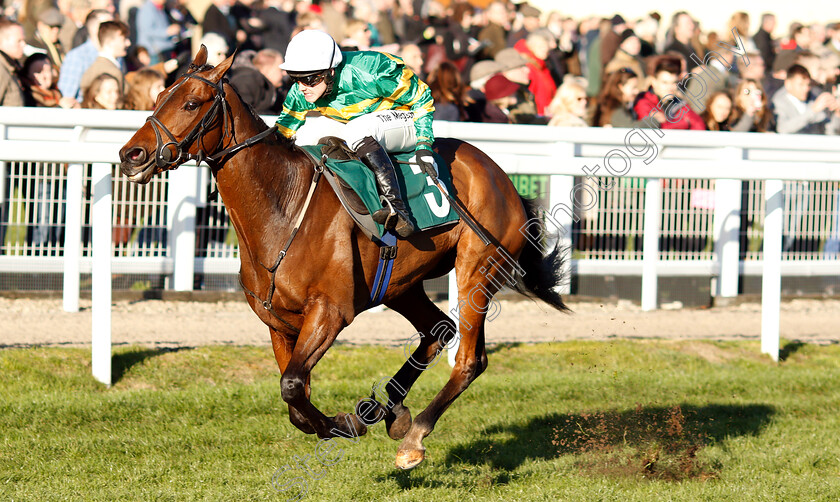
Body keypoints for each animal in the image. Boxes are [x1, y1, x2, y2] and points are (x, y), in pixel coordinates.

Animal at [120, 47, 564, 470]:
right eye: (159, 96)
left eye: (192, 102)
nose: (131, 155)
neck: (286, 207)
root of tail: (501, 176)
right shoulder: (277, 321)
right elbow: (295, 398)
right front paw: (348, 420)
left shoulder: (330, 311)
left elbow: (292, 386)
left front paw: (344, 424)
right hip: (400, 285)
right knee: (438, 330)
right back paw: (391, 411)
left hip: (477, 266)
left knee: (470, 359)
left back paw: (413, 438)